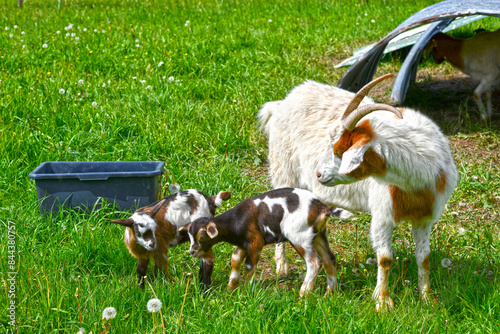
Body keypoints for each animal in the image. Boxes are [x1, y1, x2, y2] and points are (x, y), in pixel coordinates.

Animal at [260, 74, 458, 310]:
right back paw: (282, 267)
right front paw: (382, 303)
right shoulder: (382, 215)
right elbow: (385, 259)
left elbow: (424, 257)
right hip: (283, 171)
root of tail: (283, 102)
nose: (318, 174)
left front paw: (428, 298)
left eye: (339, 150)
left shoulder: (424, 218)